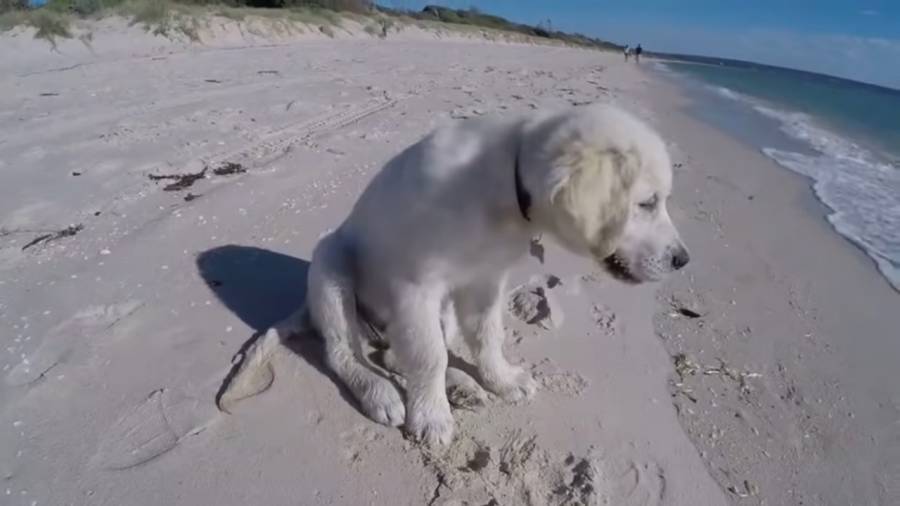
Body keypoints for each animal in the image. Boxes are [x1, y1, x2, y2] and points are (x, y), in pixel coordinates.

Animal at [302, 103, 688, 446]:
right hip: (330, 266)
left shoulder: (483, 282)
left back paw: (461, 387)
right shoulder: (415, 288)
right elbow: (429, 357)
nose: (683, 260)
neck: (504, 188)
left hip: (440, 311)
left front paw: (501, 381)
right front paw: (431, 417)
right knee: (343, 353)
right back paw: (379, 392)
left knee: (398, 354)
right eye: (647, 203)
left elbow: (485, 338)